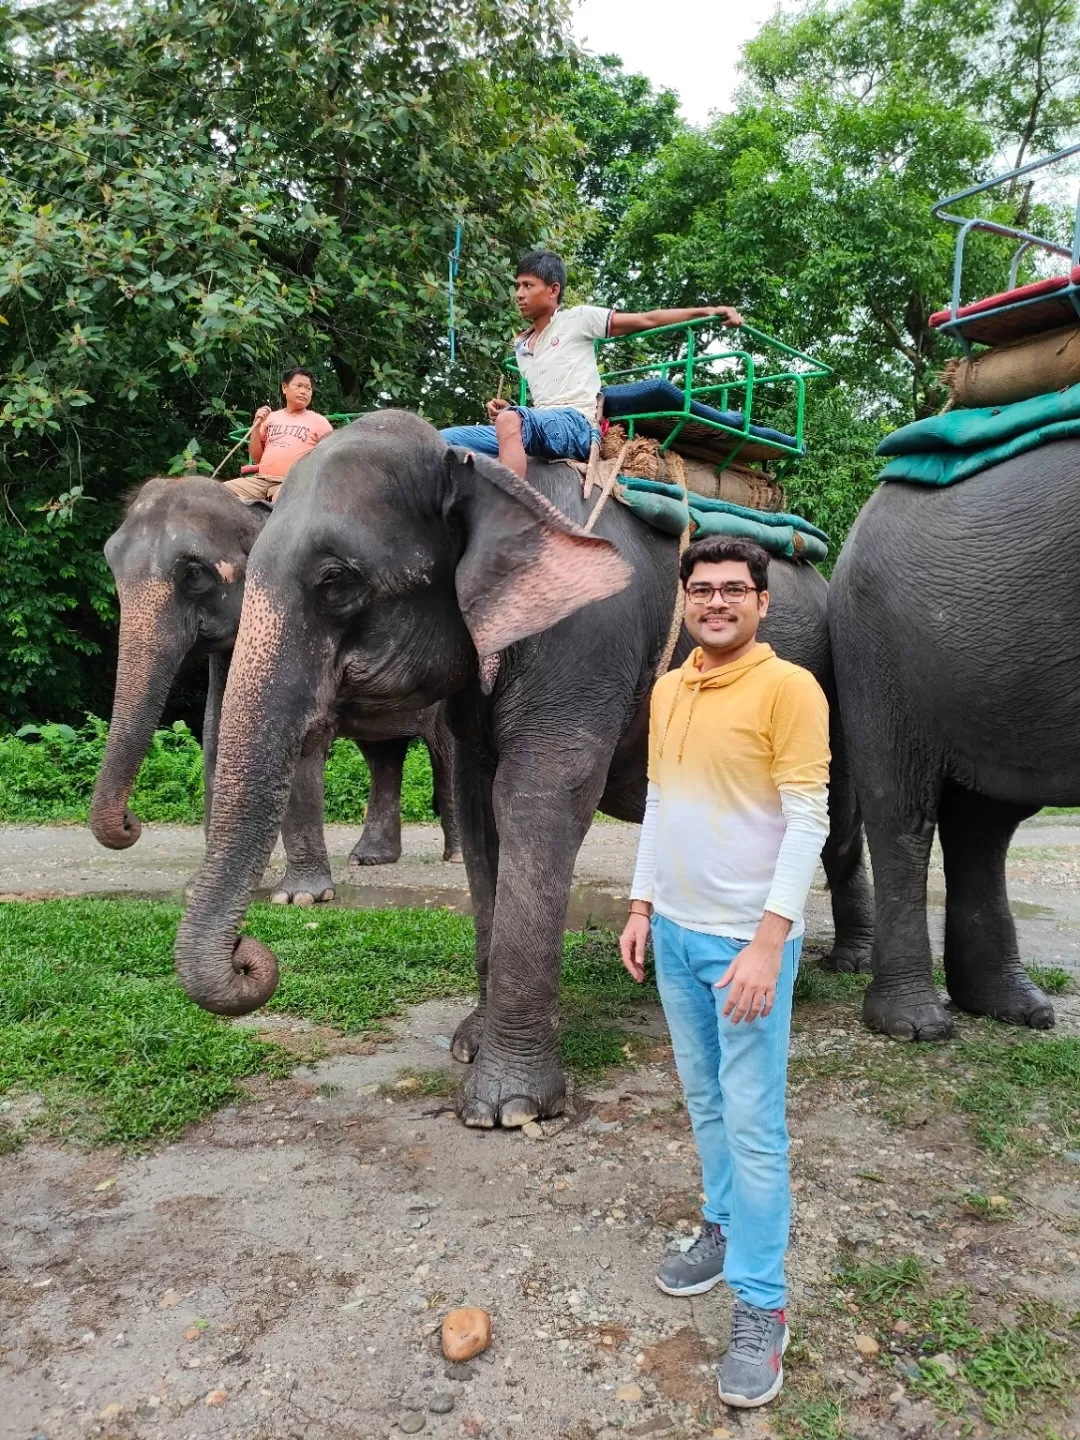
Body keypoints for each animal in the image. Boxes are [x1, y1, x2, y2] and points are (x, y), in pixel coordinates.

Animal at [92, 475, 460, 898]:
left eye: (194, 573)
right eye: (111, 563)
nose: (129, 822)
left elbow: (295, 734)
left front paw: (301, 897)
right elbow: (216, 732)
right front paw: (201, 886)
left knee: (447, 751)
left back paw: (456, 857)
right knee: (382, 754)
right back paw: (368, 858)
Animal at [173, 408, 875, 1123]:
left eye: (337, 581)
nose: (250, 956)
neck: (473, 468)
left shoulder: (585, 634)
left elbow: (537, 797)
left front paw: (507, 1108)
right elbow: (479, 806)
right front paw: (469, 1046)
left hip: (827, 684)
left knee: (836, 820)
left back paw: (847, 965)